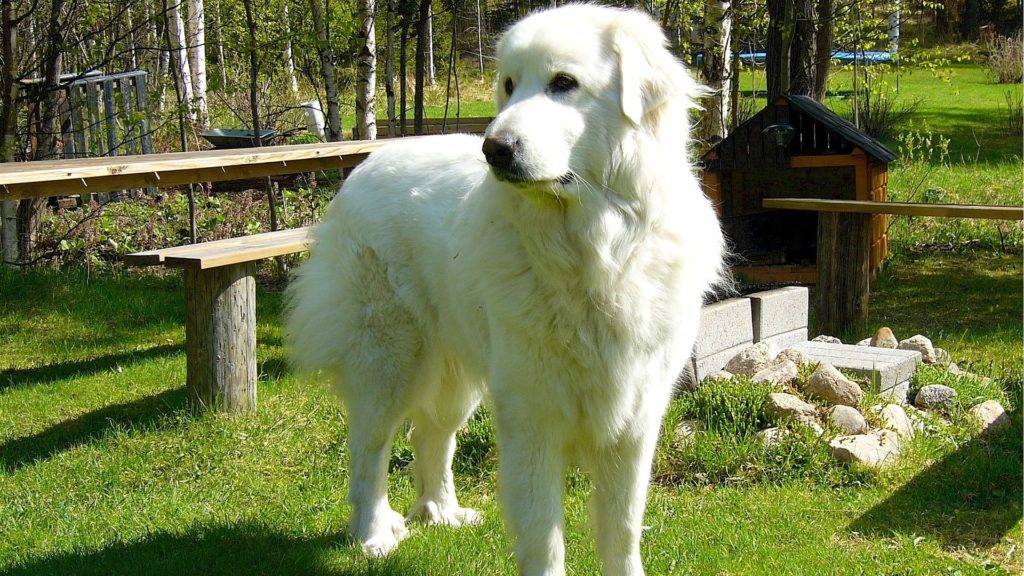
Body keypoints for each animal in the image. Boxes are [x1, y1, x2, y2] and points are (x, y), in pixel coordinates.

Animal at [284, 5, 724, 573]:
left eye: (564, 83)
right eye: (510, 86)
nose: (494, 148)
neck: (594, 251)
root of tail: (367, 163)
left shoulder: (633, 421)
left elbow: (622, 532)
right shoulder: (531, 418)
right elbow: (543, 536)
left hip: (457, 375)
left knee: (431, 435)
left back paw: (441, 513)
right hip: (389, 361)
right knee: (370, 449)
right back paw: (372, 533)